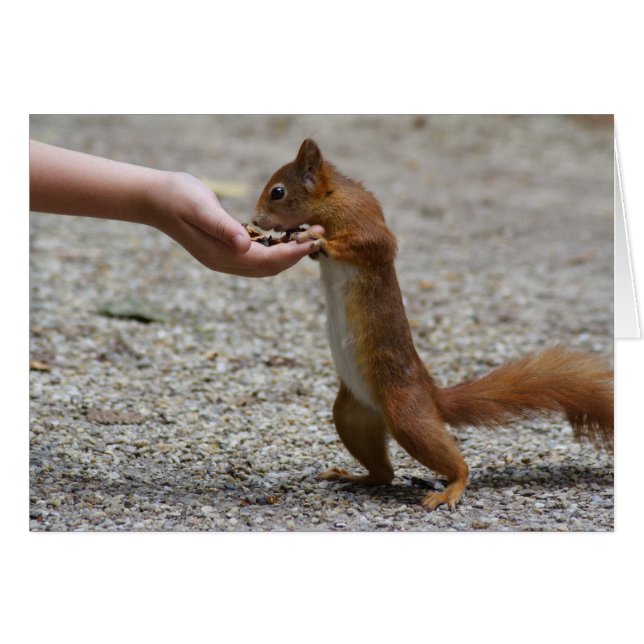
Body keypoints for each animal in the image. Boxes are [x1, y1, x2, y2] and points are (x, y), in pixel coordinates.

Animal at [253, 139, 614, 510]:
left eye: (278, 192)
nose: (255, 221)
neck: (332, 198)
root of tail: (430, 394)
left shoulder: (366, 221)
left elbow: (369, 244)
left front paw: (316, 239)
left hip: (406, 418)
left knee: (451, 463)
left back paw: (450, 489)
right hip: (351, 418)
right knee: (383, 474)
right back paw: (353, 476)